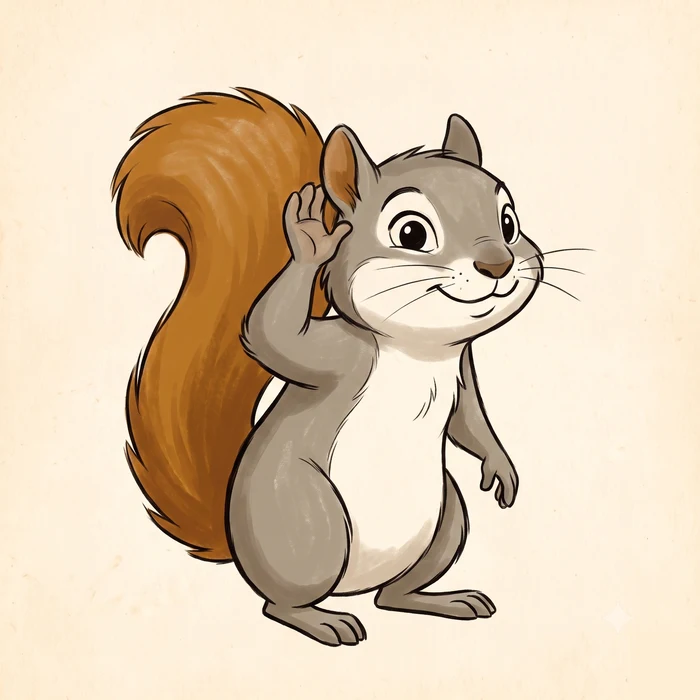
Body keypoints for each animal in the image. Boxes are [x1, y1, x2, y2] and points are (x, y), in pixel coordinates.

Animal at [112, 88, 543, 647]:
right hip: (307, 520)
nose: (498, 264)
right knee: (279, 603)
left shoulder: (462, 367)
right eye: (411, 231)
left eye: (509, 222)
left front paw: (501, 467)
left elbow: (468, 419)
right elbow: (270, 335)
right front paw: (309, 239)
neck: (421, 348)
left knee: (392, 596)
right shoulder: (342, 355)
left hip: (447, 520)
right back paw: (322, 621)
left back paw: (440, 600)